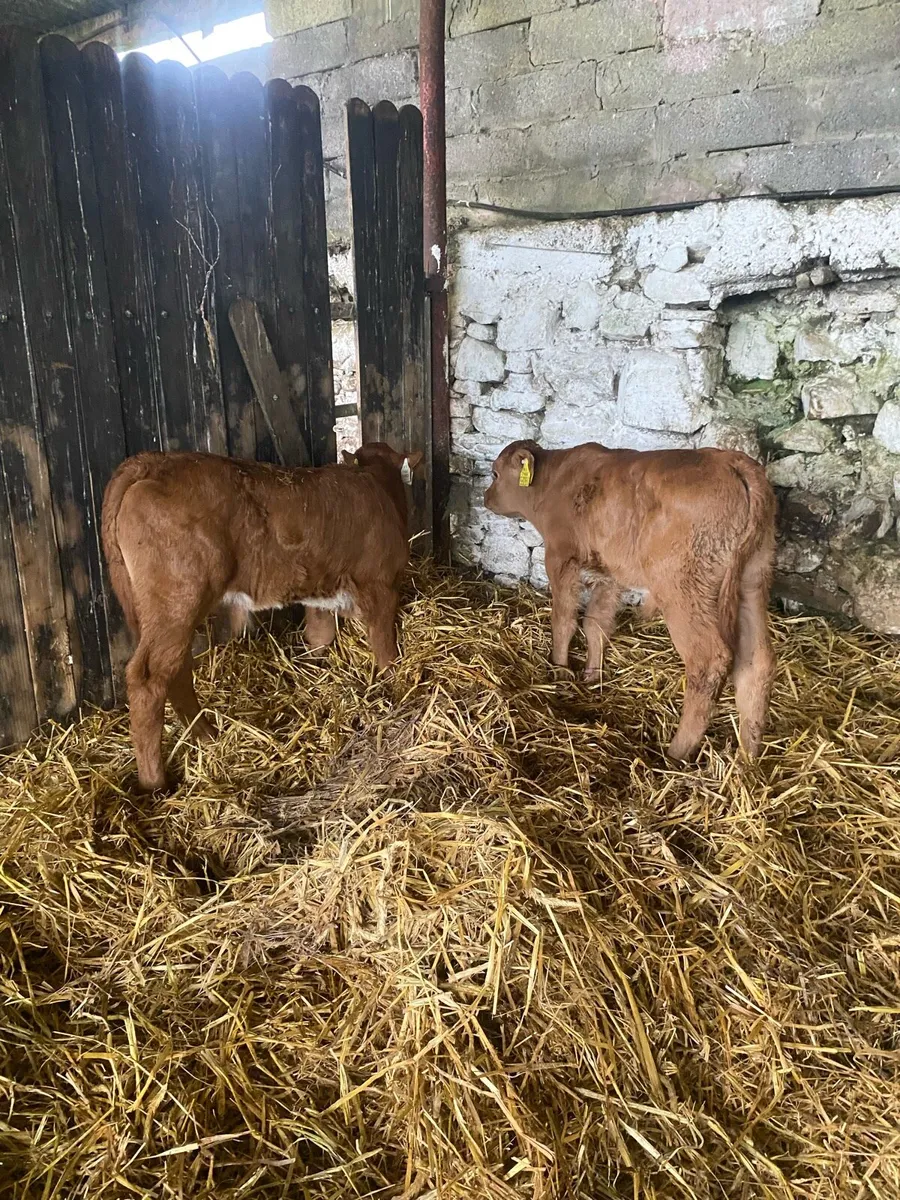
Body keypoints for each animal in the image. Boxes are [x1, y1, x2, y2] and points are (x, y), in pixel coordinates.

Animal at [101, 442, 422, 792]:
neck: (378, 485)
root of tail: (152, 462)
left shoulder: (321, 593)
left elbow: (319, 637)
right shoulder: (380, 586)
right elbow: (386, 649)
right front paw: (401, 693)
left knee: (177, 670)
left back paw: (206, 735)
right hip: (178, 601)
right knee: (150, 678)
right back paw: (155, 781)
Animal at [484, 440, 776, 762]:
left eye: (495, 474)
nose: (486, 498)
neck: (554, 480)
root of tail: (733, 463)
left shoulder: (560, 557)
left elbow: (564, 620)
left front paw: (558, 672)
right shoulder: (611, 572)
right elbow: (595, 623)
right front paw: (592, 676)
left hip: (683, 587)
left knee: (709, 660)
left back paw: (675, 753)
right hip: (753, 577)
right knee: (757, 662)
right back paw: (748, 755)